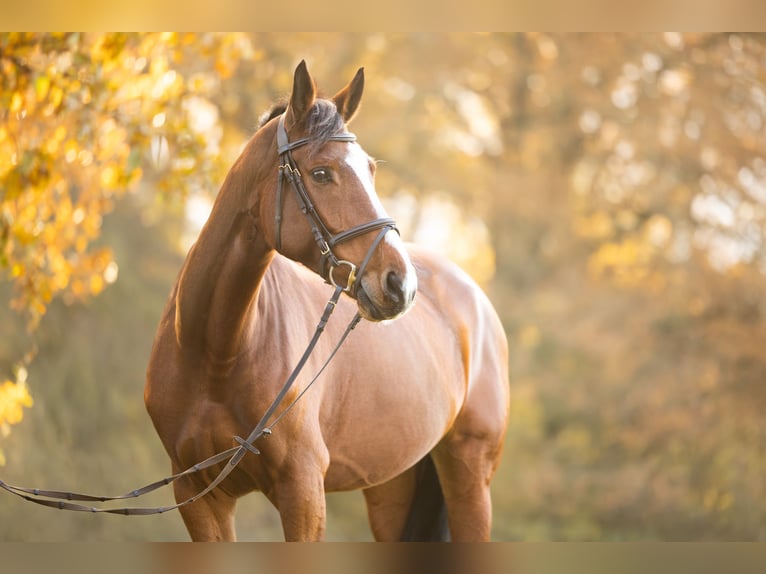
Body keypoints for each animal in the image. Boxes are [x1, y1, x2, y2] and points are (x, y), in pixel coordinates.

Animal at [144, 60, 510, 544]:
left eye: (370, 170)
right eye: (321, 173)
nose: (401, 285)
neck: (214, 352)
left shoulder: (302, 491)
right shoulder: (198, 497)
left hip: (470, 478)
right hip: (393, 489)